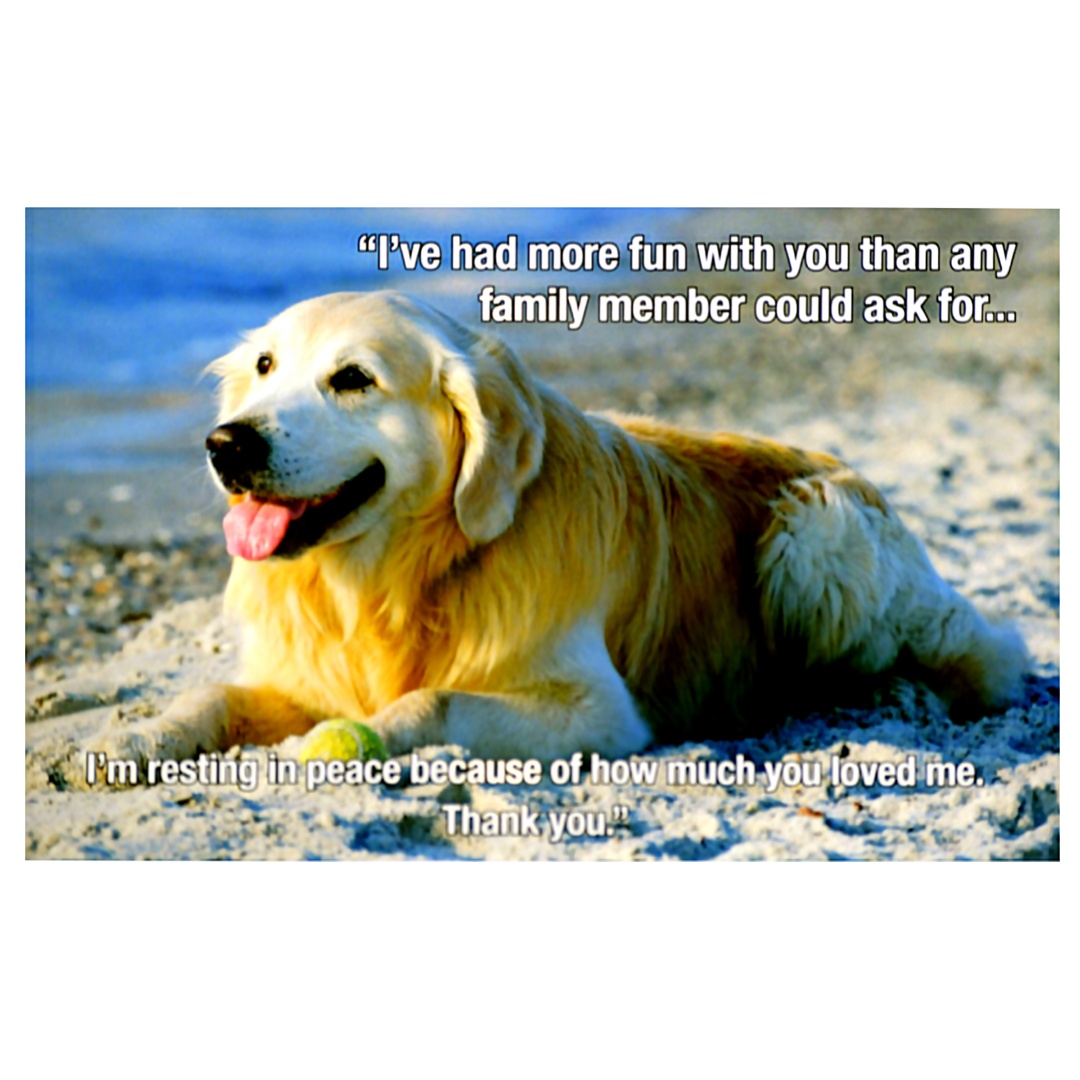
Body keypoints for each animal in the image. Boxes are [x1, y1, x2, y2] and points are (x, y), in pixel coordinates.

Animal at [86, 291, 1028, 773]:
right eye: (265, 367)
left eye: (353, 379)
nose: (225, 444)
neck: (399, 578)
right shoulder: (304, 675)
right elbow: (207, 697)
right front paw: (126, 738)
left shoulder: (598, 711)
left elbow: (431, 699)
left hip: (812, 534)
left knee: (981, 657)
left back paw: (893, 695)